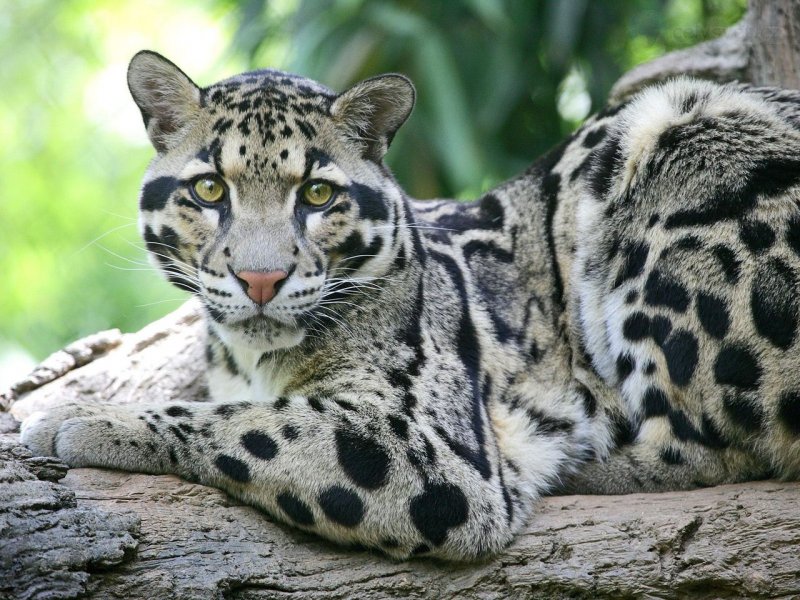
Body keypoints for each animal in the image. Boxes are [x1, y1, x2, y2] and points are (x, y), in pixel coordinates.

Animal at [20, 50, 800, 561]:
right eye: (209, 189)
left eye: (318, 194)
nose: (261, 279)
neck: (253, 354)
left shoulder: (433, 449)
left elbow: (250, 424)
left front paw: (78, 417)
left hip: (678, 131)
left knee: (720, 445)